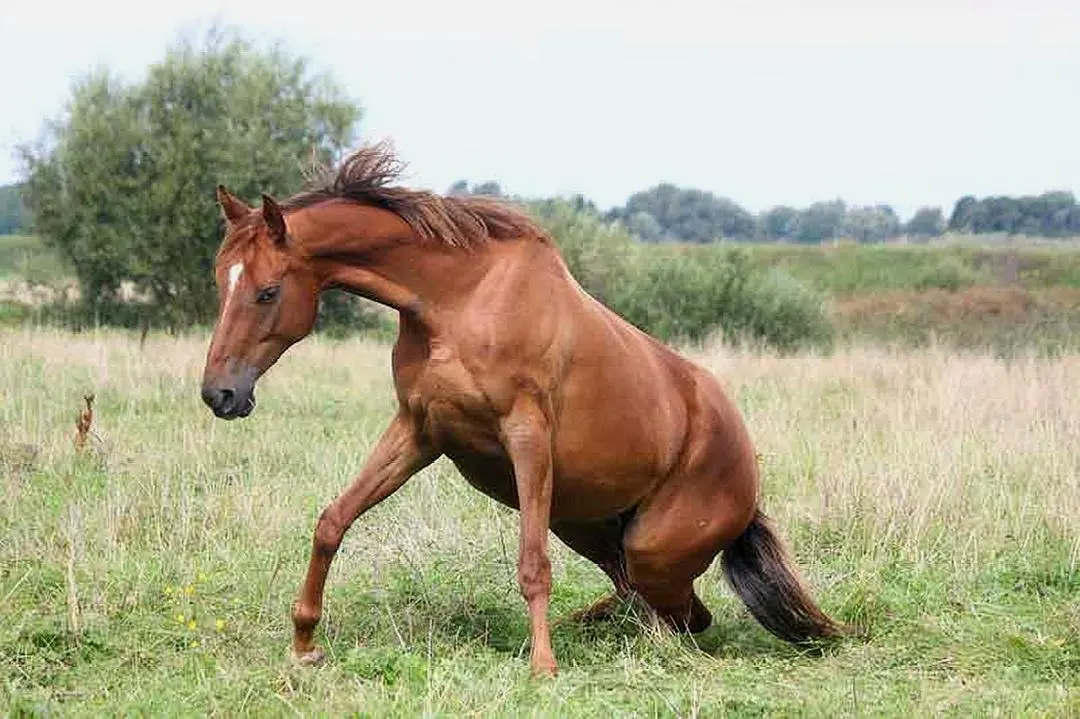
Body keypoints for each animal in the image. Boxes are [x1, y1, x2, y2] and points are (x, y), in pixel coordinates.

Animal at [200, 142, 842, 673]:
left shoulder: (526, 434)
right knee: (647, 603)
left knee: (683, 617)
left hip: (650, 549)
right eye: (220, 281)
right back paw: (590, 626)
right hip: (588, 527)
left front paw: (543, 667)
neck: (459, 300)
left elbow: (533, 566)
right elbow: (333, 521)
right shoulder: (419, 431)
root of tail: (747, 479)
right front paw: (304, 642)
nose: (219, 394)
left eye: (267, 291)